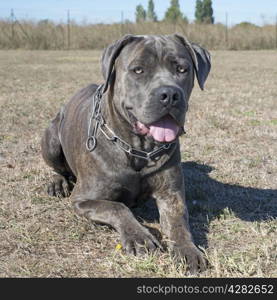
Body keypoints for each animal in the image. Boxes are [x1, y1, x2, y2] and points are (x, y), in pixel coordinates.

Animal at [40, 34, 209, 274]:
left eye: (182, 69)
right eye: (138, 70)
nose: (170, 94)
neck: (138, 148)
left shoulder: (171, 194)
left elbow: (178, 223)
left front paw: (188, 250)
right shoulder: (83, 199)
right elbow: (117, 207)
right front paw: (139, 237)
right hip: (51, 140)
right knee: (58, 168)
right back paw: (57, 183)